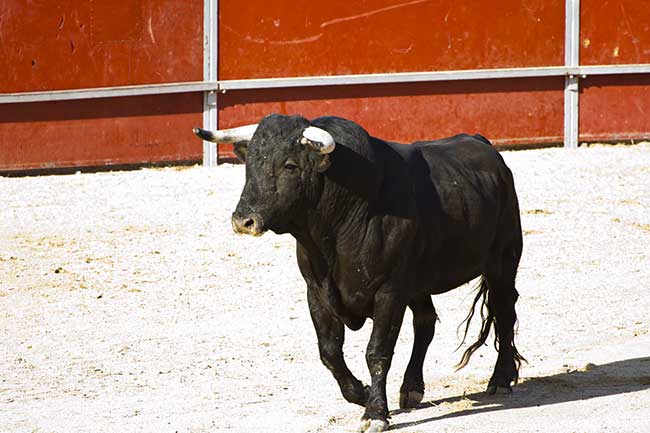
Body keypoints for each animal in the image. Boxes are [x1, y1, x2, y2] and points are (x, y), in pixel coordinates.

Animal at [192, 113, 520, 430]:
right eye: (250, 165)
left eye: (290, 165)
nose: (243, 220)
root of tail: (483, 144)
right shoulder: (318, 292)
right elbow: (329, 352)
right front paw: (361, 394)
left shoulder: (389, 292)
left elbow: (377, 352)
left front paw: (375, 413)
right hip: (418, 284)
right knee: (426, 322)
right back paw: (411, 388)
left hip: (502, 262)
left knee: (504, 313)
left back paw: (501, 380)